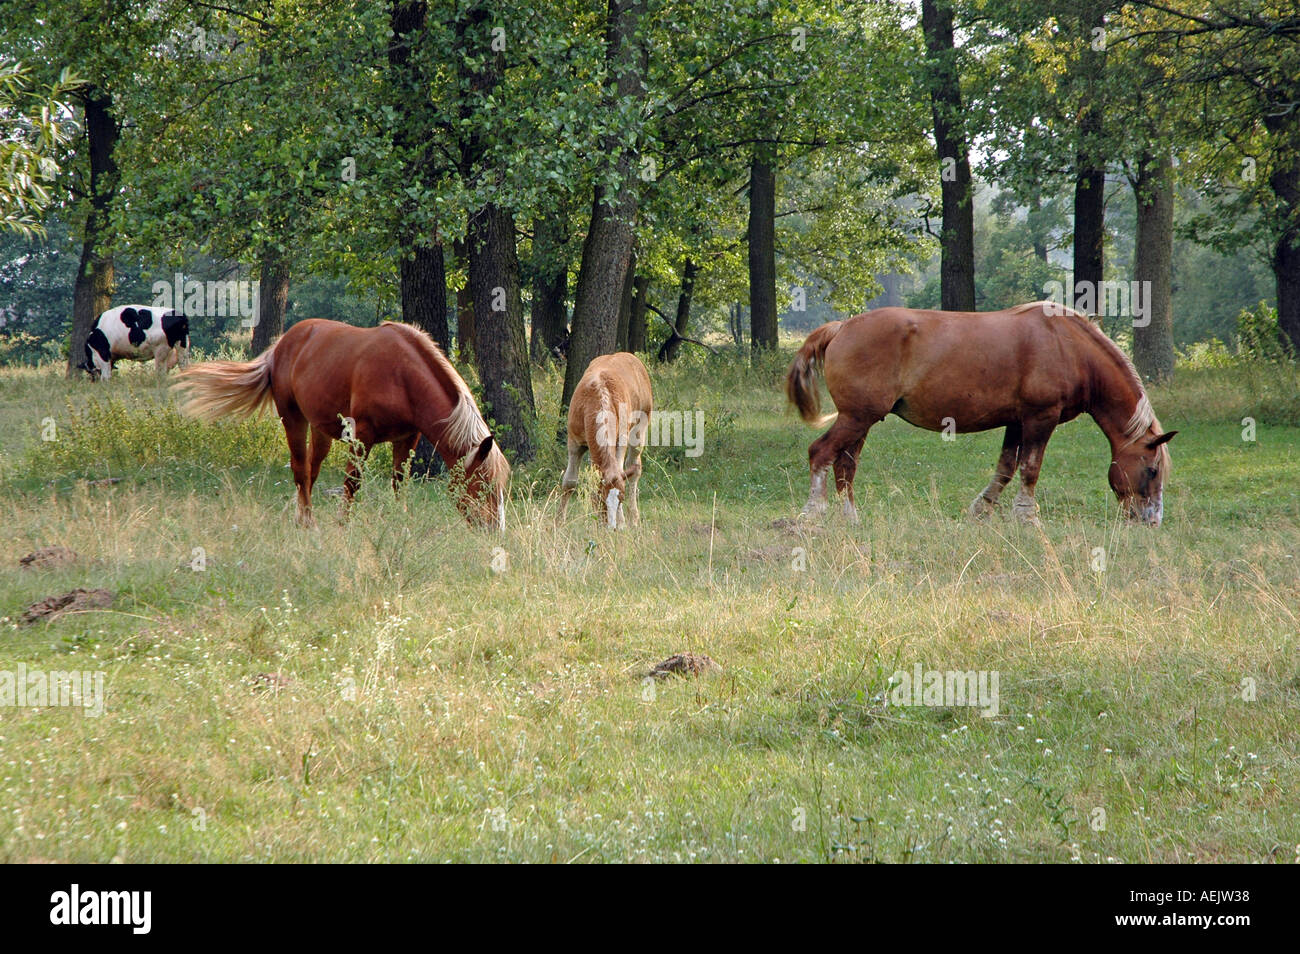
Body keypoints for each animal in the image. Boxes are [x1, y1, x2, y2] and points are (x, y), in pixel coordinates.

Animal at [175, 321, 509, 530]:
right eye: (484, 486)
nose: (495, 529)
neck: (402, 375)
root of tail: (283, 344)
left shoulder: (408, 437)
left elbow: (399, 483)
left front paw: (400, 521)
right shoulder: (363, 436)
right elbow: (352, 483)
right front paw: (342, 525)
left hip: (320, 429)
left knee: (311, 471)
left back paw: (302, 518)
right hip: (293, 418)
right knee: (300, 469)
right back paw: (309, 523)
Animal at [561, 353, 655, 530]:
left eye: (621, 499)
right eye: (599, 499)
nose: (611, 527)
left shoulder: (620, 440)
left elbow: (620, 470)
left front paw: (622, 522)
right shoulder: (574, 442)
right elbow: (569, 482)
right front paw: (558, 522)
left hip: (642, 425)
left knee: (634, 467)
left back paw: (634, 518)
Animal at [780, 302, 1180, 527]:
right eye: (1152, 470)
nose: (1152, 521)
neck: (1068, 346)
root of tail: (841, 328)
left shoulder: (1017, 422)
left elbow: (1006, 468)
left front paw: (981, 510)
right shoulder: (1040, 418)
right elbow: (1029, 469)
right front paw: (1027, 516)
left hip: (861, 419)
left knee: (845, 465)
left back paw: (850, 518)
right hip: (856, 418)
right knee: (821, 453)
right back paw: (812, 512)